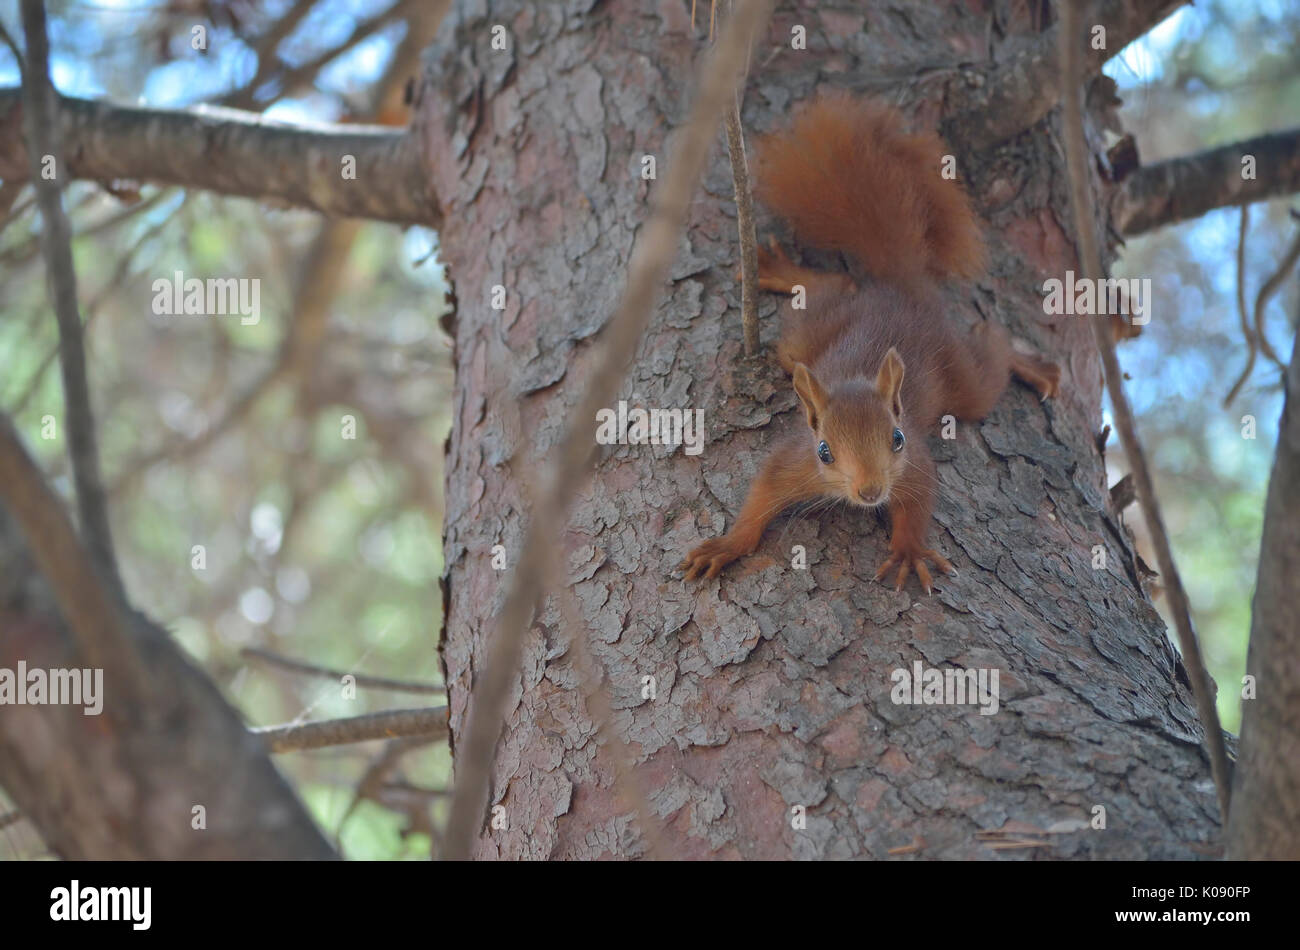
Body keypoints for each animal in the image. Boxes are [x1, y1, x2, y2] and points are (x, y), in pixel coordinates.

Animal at [680, 94, 1061, 594]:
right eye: (825, 451)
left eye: (896, 438)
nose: (871, 492)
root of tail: (901, 288)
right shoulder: (793, 462)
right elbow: (758, 501)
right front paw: (726, 546)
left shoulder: (914, 463)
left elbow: (918, 502)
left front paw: (908, 551)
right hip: (805, 338)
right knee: (834, 285)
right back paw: (784, 272)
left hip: (959, 375)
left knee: (988, 356)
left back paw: (1031, 364)